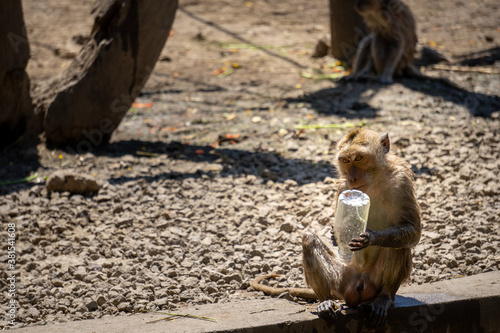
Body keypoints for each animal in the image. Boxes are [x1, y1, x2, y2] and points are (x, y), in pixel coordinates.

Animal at [250, 128, 422, 326]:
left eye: (359, 158)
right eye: (346, 161)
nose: (352, 177)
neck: (374, 179)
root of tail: (358, 284)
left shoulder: (401, 181)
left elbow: (412, 230)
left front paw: (369, 237)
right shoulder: (342, 186)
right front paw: (334, 235)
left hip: (374, 281)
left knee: (398, 243)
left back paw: (383, 298)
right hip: (342, 278)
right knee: (309, 240)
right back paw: (326, 301)